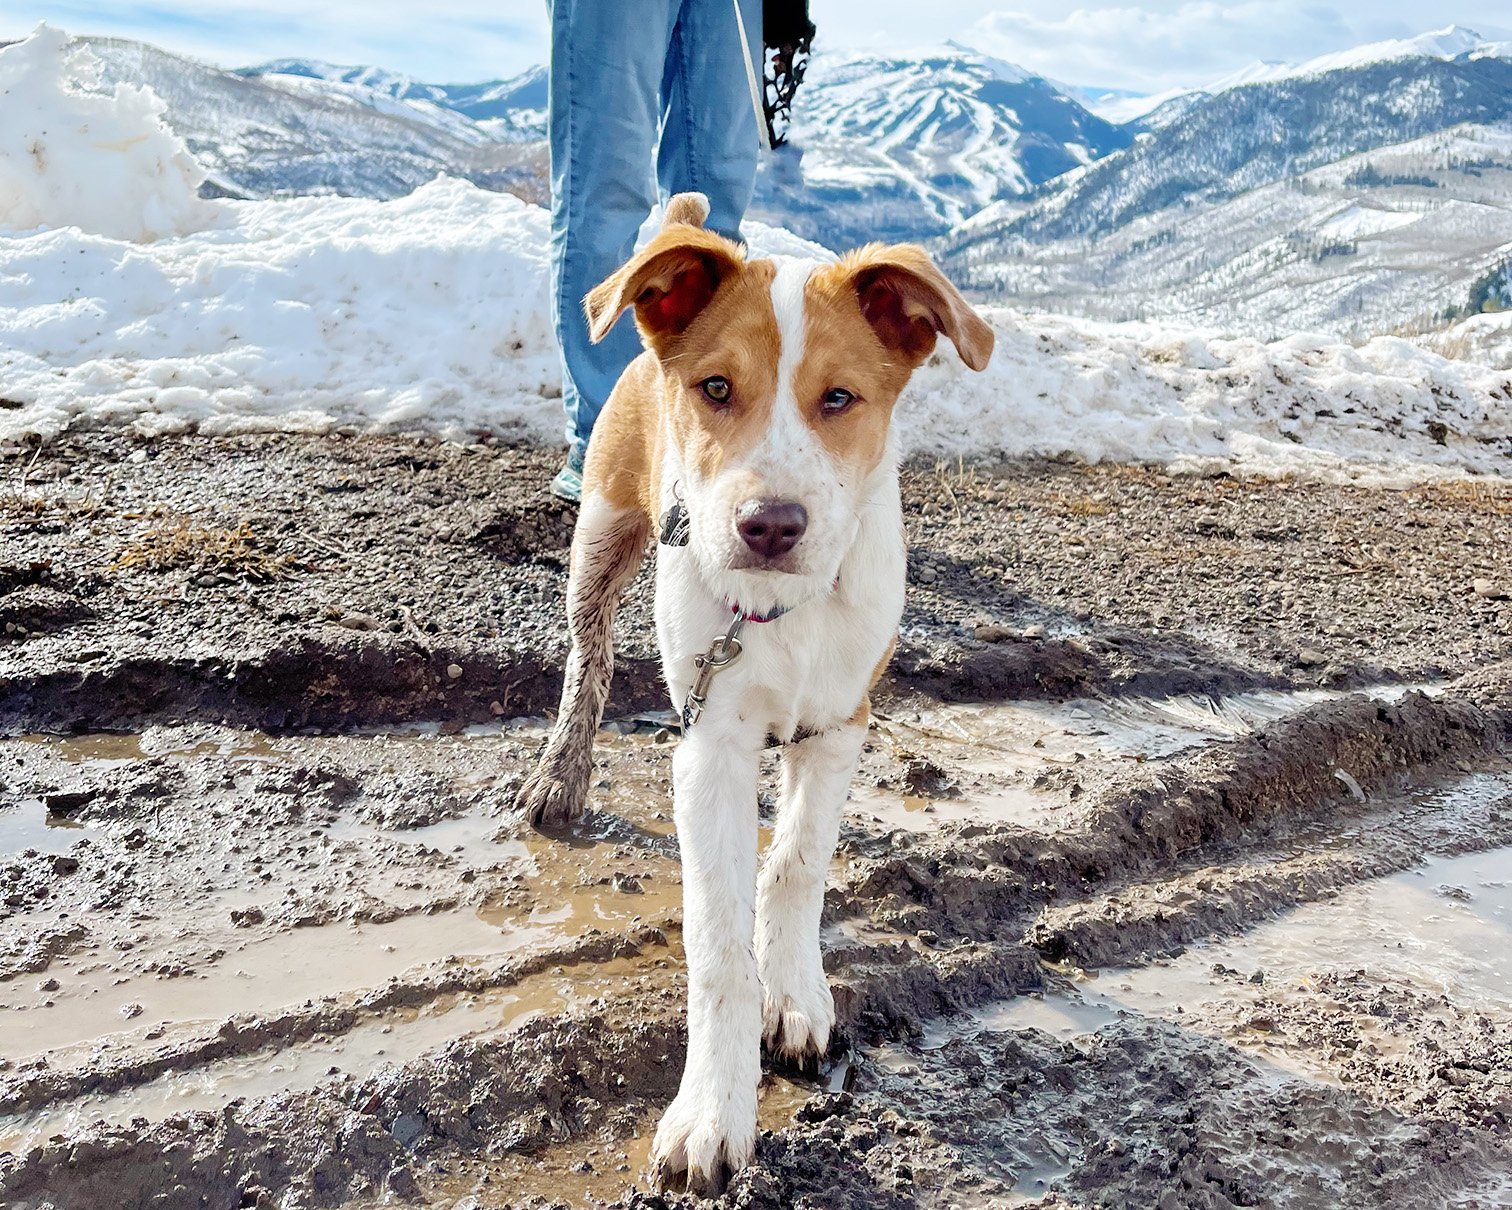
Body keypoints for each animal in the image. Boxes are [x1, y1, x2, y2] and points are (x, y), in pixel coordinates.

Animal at [514, 191, 997, 1191]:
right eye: (715, 389)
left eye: (840, 398)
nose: (769, 524)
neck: (782, 611)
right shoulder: (712, 745)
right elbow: (717, 945)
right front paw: (712, 1110)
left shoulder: (842, 724)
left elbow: (798, 864)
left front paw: (798, 995)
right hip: (604, 529)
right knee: (589, 659)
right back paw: (560, 775)